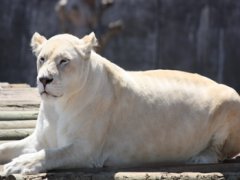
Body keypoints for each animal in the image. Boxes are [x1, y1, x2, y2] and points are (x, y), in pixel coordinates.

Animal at [0, 32, 240, 174]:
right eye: (42, 58)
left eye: (64, 61)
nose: (44, 80)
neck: (57, 109)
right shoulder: (39, 140)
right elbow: (8, 146)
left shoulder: (87, 150)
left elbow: (52, 154)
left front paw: (20, 164)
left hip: (232, 97)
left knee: (221, 152)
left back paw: (199, 158)